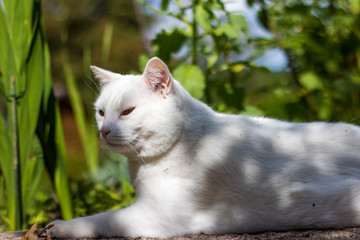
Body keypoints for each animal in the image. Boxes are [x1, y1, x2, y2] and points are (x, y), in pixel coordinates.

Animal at [47, 56, 360, 238]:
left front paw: (61, 227)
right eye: (101, 112)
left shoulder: (152, 217)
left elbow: (103, 220)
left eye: (127, 112)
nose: (104, 130)